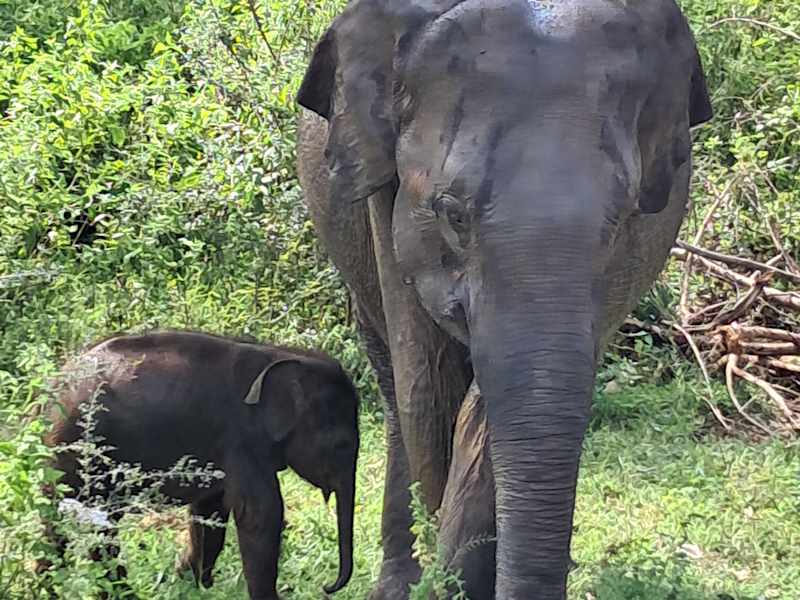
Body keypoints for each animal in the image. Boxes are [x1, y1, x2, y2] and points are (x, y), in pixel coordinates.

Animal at [40, 330, 359, 600]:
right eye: (341, 445)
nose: (327, 587)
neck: (280, 355)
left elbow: (210, 510)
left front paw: (188, 581)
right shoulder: (241, 441)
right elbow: (260, 515)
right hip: (76, 449)